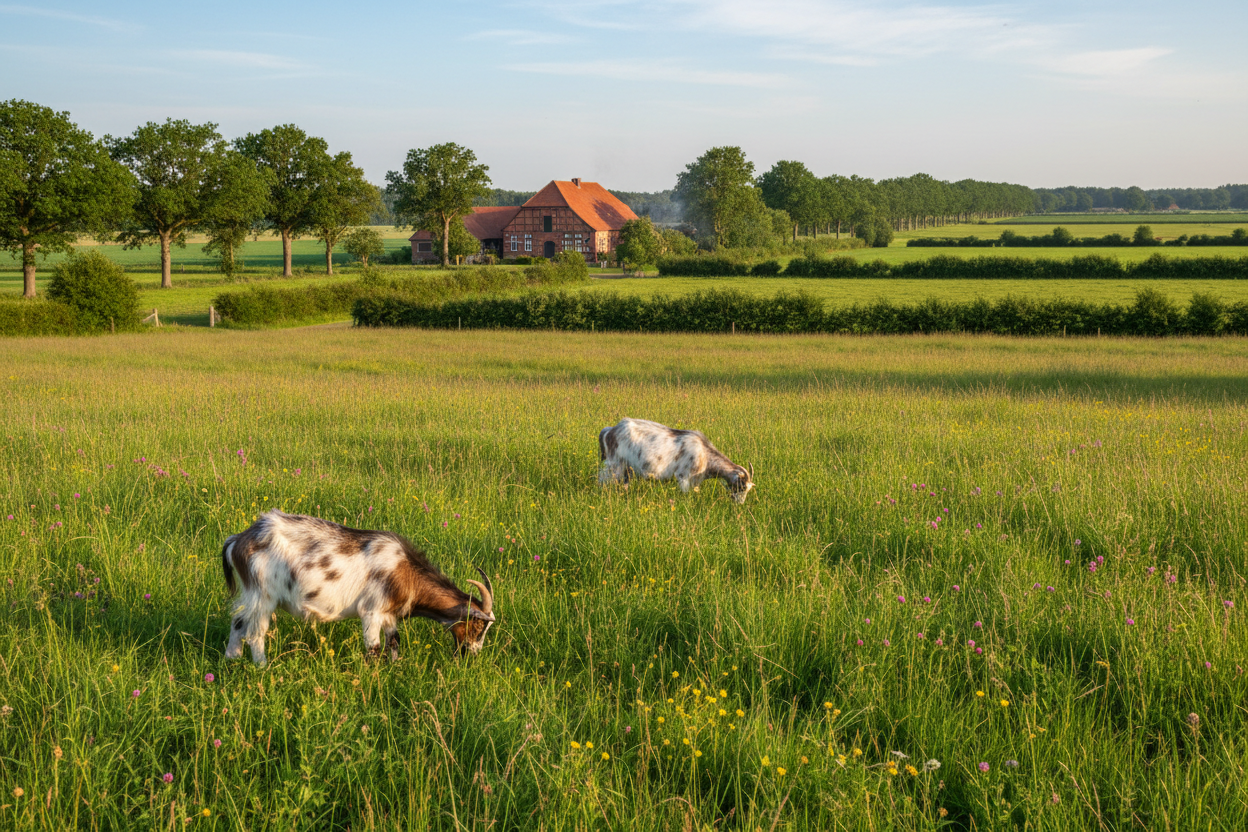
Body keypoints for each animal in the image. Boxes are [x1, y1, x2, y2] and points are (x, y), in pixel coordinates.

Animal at [221, 510, 495, 665]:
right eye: (478, 625)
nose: (472, 655)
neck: (405, 571)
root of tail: (239, 539)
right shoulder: (371, 612)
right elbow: (373, 649)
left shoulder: (388, 615)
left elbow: (394, 642)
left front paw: (395, 670)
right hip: (262, 595)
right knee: (255, 633)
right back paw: (262, 667)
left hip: (251, 594)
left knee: (237, 621)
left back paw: (232, 659)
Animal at [598, 417, 754, 504]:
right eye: (741, 487)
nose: (739, 503)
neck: (704, 453)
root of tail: (610, 430)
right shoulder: (683, 477)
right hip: (614, 465)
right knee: (602, 479)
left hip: (627, 469)